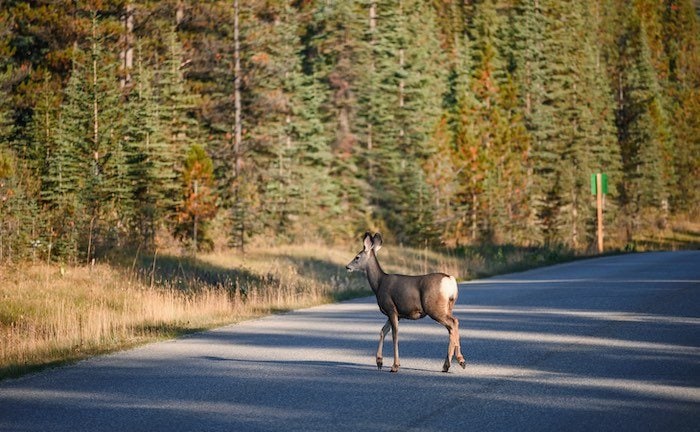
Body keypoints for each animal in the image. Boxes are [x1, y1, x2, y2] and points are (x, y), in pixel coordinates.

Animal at [344, 233, 464, 372]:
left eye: (357, 257)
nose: (347, 267)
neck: (379, 284)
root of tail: (450, 280)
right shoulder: (396, 314)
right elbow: (382, 331)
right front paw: (379, 361)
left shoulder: (391, 308)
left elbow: (394, 335)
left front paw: (395, 365)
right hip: (448, 306)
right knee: (452, 325)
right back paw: (447, 365)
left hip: (434, 307)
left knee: (453, 323)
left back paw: (459, 360)